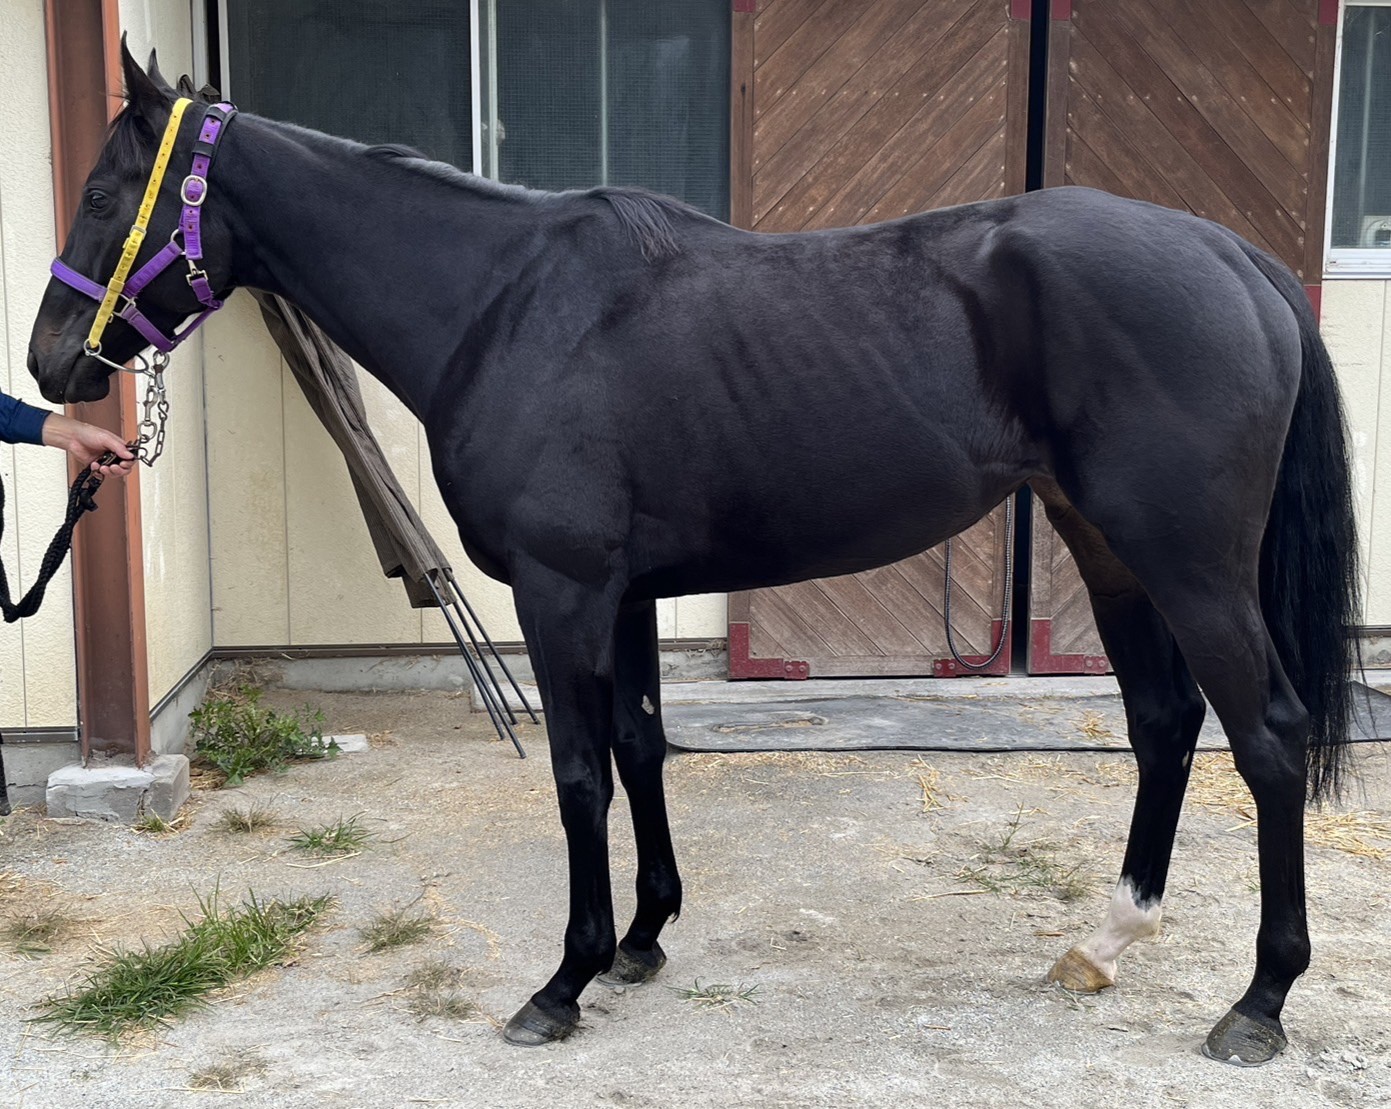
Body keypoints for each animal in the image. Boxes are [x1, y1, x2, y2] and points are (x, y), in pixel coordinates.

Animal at [27, 46, 1359, 1065]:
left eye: (102, 192)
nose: (50, 363)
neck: (502, 304)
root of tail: (1232, 257)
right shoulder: (621, 595)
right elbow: (640, 746)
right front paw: (640, 939)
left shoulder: (562, 593)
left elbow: (578, 772)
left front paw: (560, 981)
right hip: (1109, 548)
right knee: (1162, 722)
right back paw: (1105, 939)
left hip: (1187, 563)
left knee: (1265, 735)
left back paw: (1256, 1001)